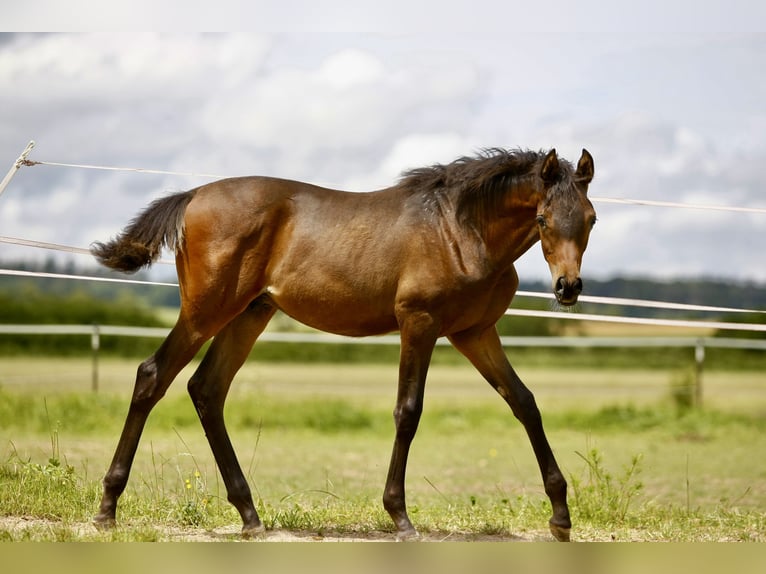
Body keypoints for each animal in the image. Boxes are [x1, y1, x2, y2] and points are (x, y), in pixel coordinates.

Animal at [88, 146, 592, 544]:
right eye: (543, 219)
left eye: (590, 219)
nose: (568, 288)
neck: (458, 230)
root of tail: (192, 196)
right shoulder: (419, 323)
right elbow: (408, 411)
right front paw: (399, 516)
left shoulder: (476, 333)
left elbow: (524, 403)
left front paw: (561, 517)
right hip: (206, 312)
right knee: (153, 376)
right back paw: (107, 508)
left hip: (250, 313)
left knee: (207, 389)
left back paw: (249, 514)